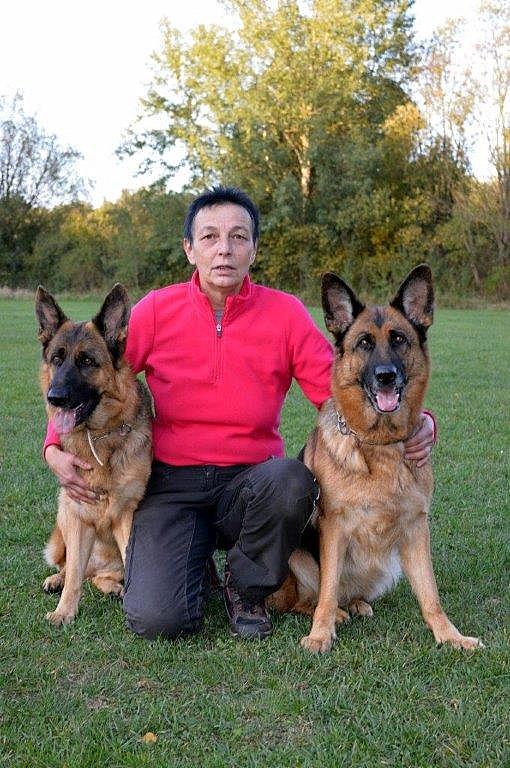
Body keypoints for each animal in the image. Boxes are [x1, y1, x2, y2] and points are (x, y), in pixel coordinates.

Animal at [36, 284, 152, 625]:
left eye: (87, 361)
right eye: (56, 359)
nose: (55, 398)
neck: (98, 435)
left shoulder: (126, 516)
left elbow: (130, 561)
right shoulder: (78, 517)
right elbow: (74, 573)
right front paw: (64, 611)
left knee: (98, 575)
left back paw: (113, 587)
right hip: (64, 509)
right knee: (76, 568)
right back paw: (57, 580)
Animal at [269, 265, 482, 652]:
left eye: (399, 339)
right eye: (365, 343)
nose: (386, 376)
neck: (379, 444)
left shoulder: (416, 527)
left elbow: (431, 594)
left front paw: (450, 636)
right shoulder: (335, 528)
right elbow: (325, 593)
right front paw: (321, 635)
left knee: (345, 592)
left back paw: (354, 604)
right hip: (296, 556)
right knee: (307, 600)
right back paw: (334, 612)